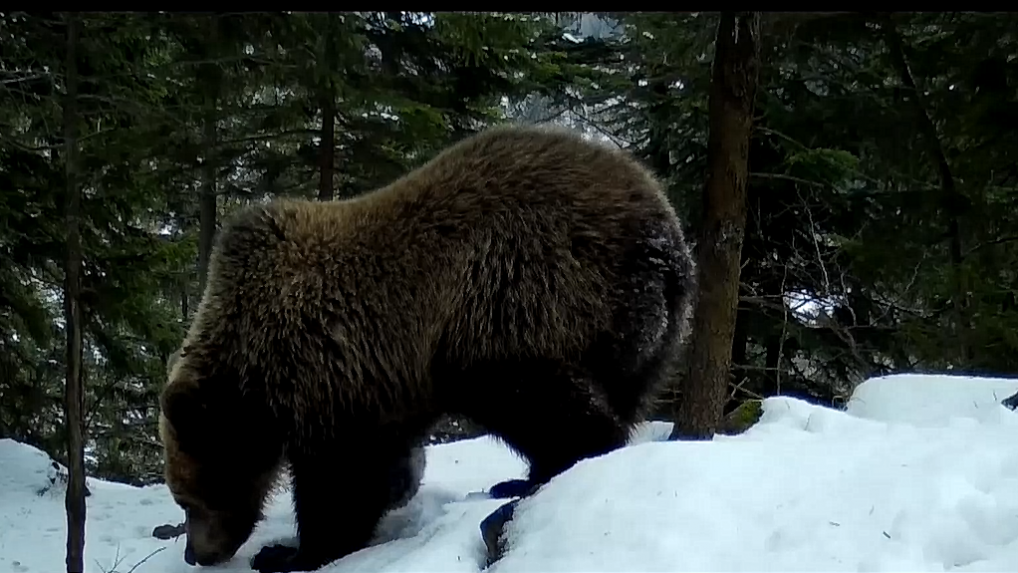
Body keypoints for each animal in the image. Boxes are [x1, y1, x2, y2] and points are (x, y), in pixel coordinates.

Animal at [158, 124, 696, 573]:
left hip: (517, 291)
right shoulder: (378, 386)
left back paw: (557, 466)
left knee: (532, 395)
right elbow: (381, 463)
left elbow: (339, 480)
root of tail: (664, 241)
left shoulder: (329, 370)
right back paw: (526, 477)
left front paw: (289, 553)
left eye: (189, 498)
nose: (196, 554)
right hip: (649, 334)